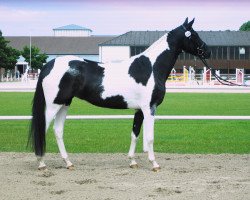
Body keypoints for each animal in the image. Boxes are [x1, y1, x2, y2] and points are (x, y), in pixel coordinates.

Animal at [27, 18, 211, 171]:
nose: (207, 52)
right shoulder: (149, 108)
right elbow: (150, 137)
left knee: (58, 131)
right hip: (53, 105)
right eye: (194, 35)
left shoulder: (139, 110)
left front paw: (133, 161)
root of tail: (48, 65)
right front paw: (154, 164)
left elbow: (135, 134)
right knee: (43, 129)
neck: (151, 67)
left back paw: (68, 163)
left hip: (64, 104)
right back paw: (41, 163)